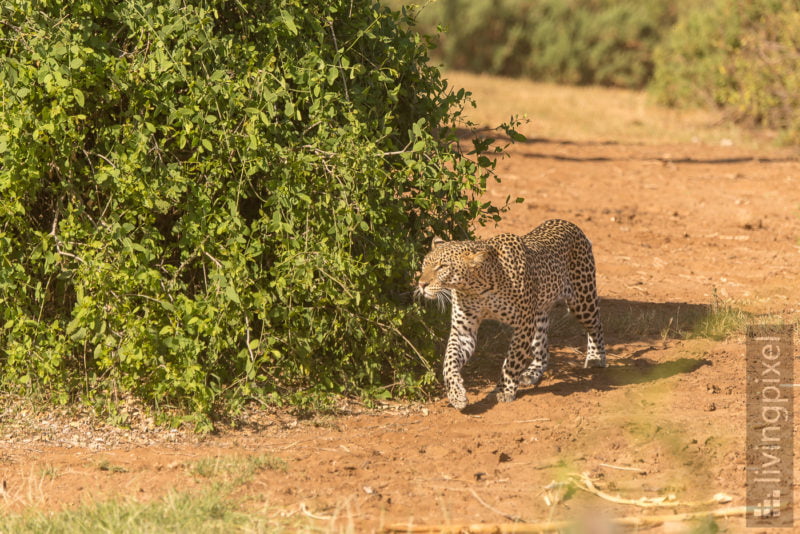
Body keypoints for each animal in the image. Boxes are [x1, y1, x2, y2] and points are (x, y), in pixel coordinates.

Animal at [416, 220, 604, 412]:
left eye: (442, 267)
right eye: (425, 264)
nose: (421, 284)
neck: (477, 289)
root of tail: (569, 224)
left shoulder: (523, 325)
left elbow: (512, 361)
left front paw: (505, 390)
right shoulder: (463, 329)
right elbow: (449, 361)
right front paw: (456, 394)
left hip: (582, 299)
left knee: (597, 325)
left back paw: (595, 358)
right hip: (539, 316)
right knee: (543, 349)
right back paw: (531, 373)